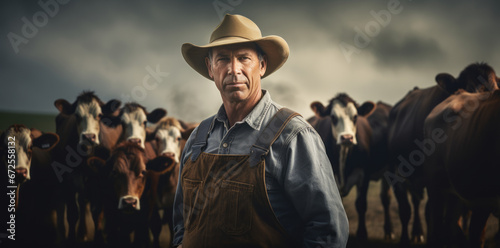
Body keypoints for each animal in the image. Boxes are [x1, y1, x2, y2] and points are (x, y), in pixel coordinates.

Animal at [306, 94, 392, 241]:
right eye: (333, 117)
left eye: (355, 116)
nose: (347, 137)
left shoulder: (364, 175)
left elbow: (361, 204)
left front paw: (362, 234)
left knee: (386, 199)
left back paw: (389, 232)